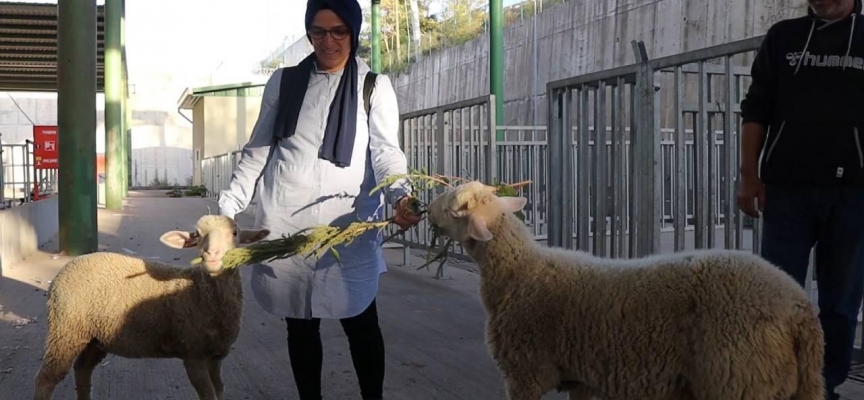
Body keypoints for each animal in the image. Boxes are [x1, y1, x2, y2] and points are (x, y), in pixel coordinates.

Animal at [33, 216, 270, 400]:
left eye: (235, 233)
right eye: (197, 234)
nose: (212, 254)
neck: (198, 290)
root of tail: (62, 272)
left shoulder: (216, 357)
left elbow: (220, 390)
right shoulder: (193, 355)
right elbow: (208, 395)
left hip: (94, 337)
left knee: (82, 369)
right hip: (65, 330)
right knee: (46, 379)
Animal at [428, 182, 828, 400]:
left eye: (452, 206)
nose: (424, 207)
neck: (520, 272)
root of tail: (800, 308)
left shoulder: (526, 372)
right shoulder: (580, 375)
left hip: (742, 377)